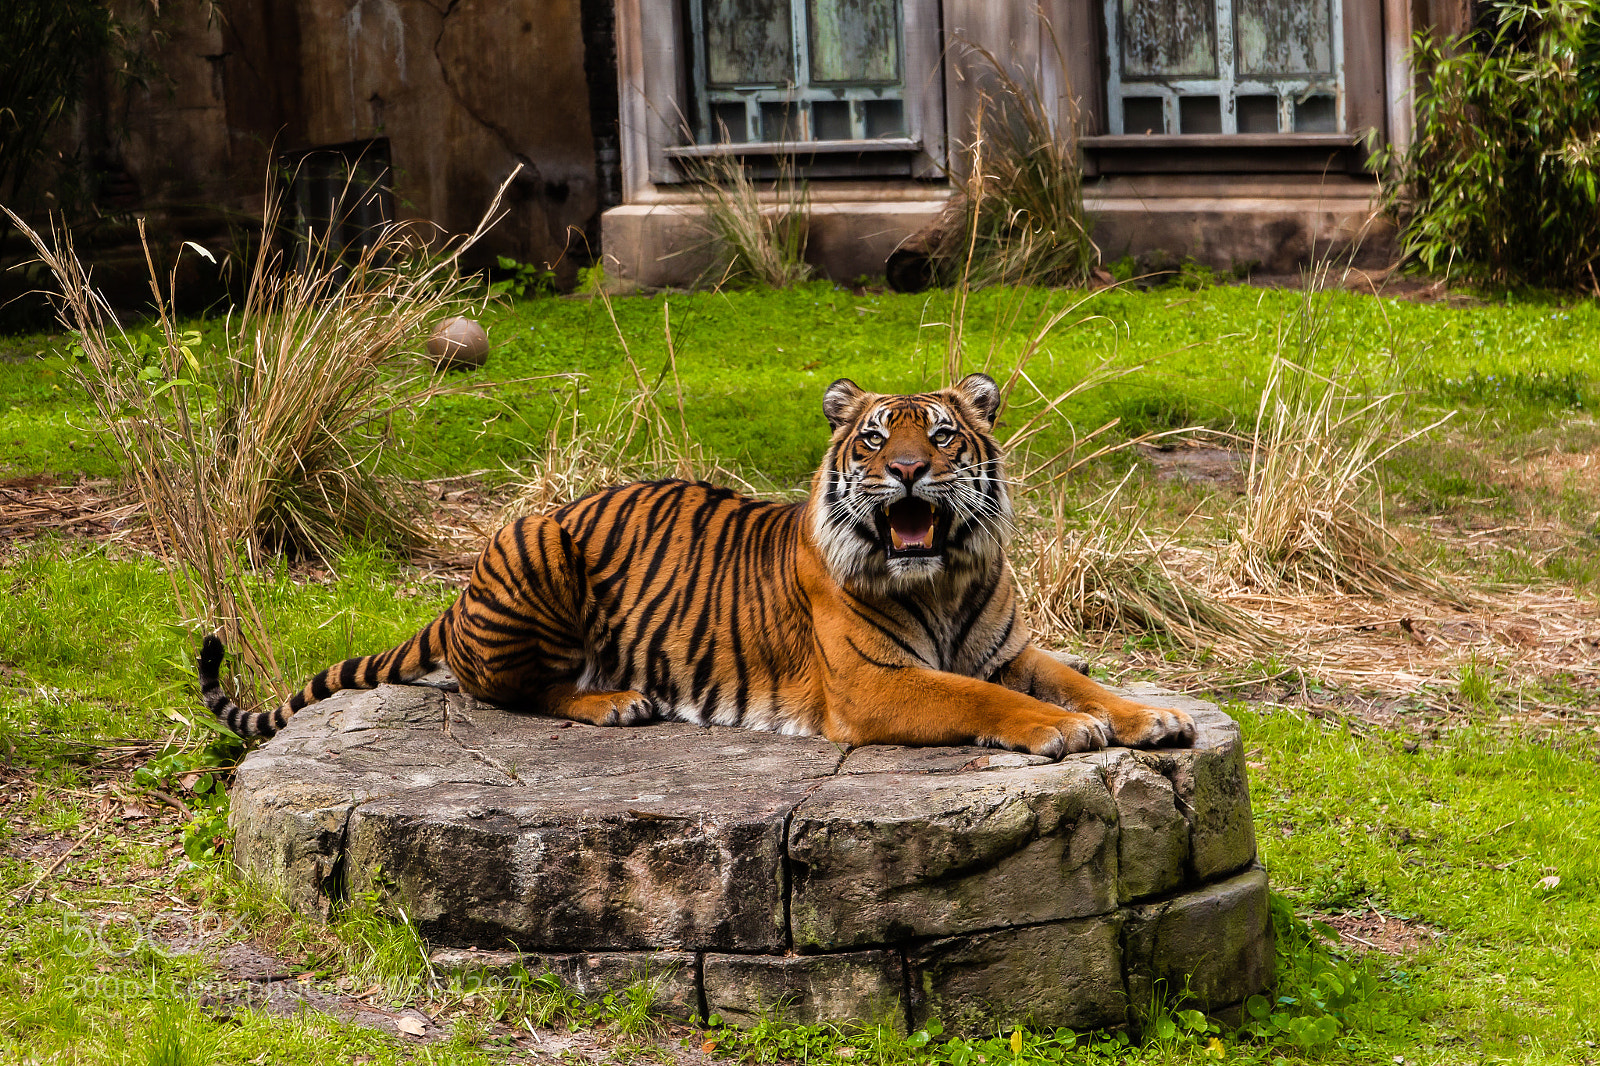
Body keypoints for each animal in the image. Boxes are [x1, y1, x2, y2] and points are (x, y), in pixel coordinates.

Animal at [199, 373, 1194, 757]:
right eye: (877, 440)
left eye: (942, 435)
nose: (910, 471)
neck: (943, 579)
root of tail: (459, 593)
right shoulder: (876, 684)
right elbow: (984, 700)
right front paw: (1063, 731)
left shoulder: (1007, 649)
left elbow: (1075, 678)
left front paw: (1151, 716)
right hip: (536, 545)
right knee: (508, 692)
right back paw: (616, 702)